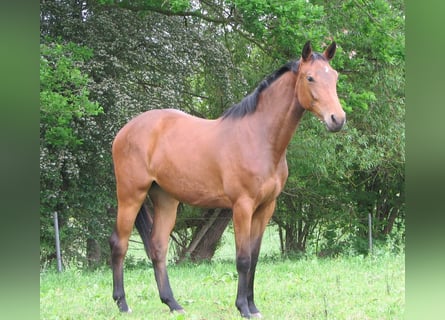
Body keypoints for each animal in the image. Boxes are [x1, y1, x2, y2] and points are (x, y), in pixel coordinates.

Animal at [109, 40, 346, 318]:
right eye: (310, 78)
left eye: (335, 77)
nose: (337, 119)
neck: (259, 138)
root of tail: (125, 130)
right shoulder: (242, 206)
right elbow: (243, 259)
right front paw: (243, 307)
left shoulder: (265, 208)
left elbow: (254, 258)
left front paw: (253, 306)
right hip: (130, 195)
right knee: (119, 244)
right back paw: (122, 303)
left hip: (166, 199)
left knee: (158, 247)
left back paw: (173, 303)